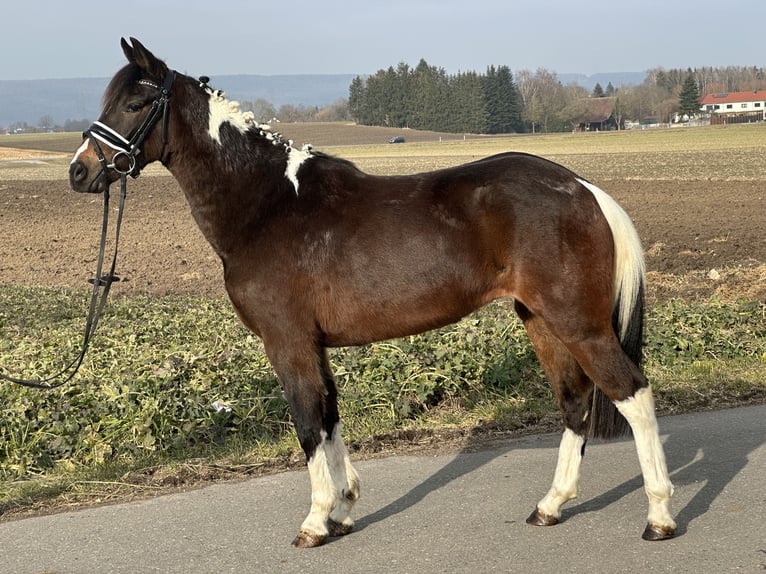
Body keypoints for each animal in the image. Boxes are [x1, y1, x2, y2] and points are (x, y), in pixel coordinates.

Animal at [67, 37, 680, 548]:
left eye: (134, 103)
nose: (80, 171)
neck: (268, 205)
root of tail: (582, 188)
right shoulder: (313, 345)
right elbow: (329, 417)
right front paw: (342, 510)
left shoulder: (287, 342)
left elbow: (307, 424)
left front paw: (316, 522)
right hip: (541, 320)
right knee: (575, 403)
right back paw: (550, 507)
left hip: (579, 323)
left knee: (633, 394)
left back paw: (659, 516)